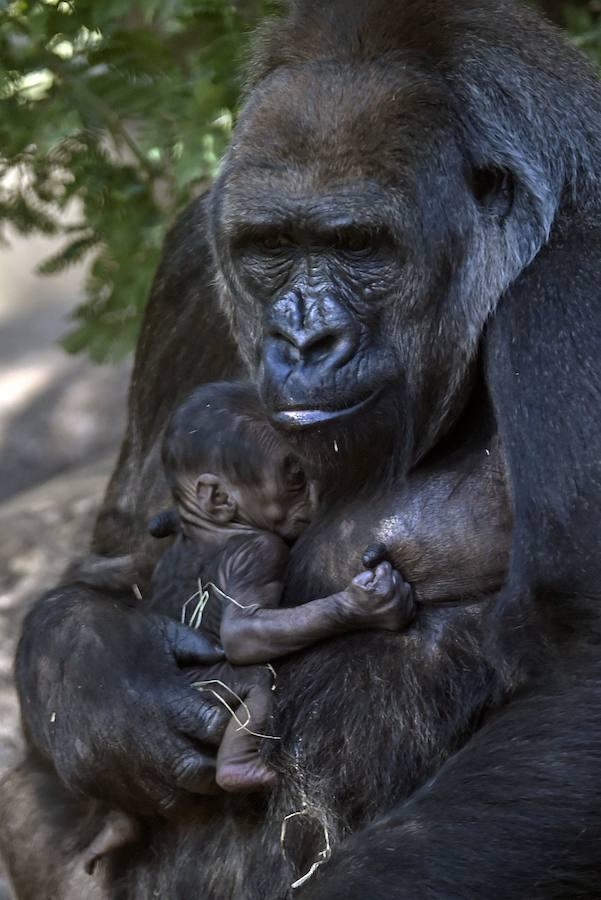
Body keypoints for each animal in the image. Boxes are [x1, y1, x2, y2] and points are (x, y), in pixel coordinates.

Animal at [149, 378, 412, 788]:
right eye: (296, 478)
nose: (316, 495)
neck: (209, 529)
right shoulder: (261, 551)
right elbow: (243, 632)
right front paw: (367, 605)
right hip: (206, 686)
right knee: (257, 681)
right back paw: (241, 770)